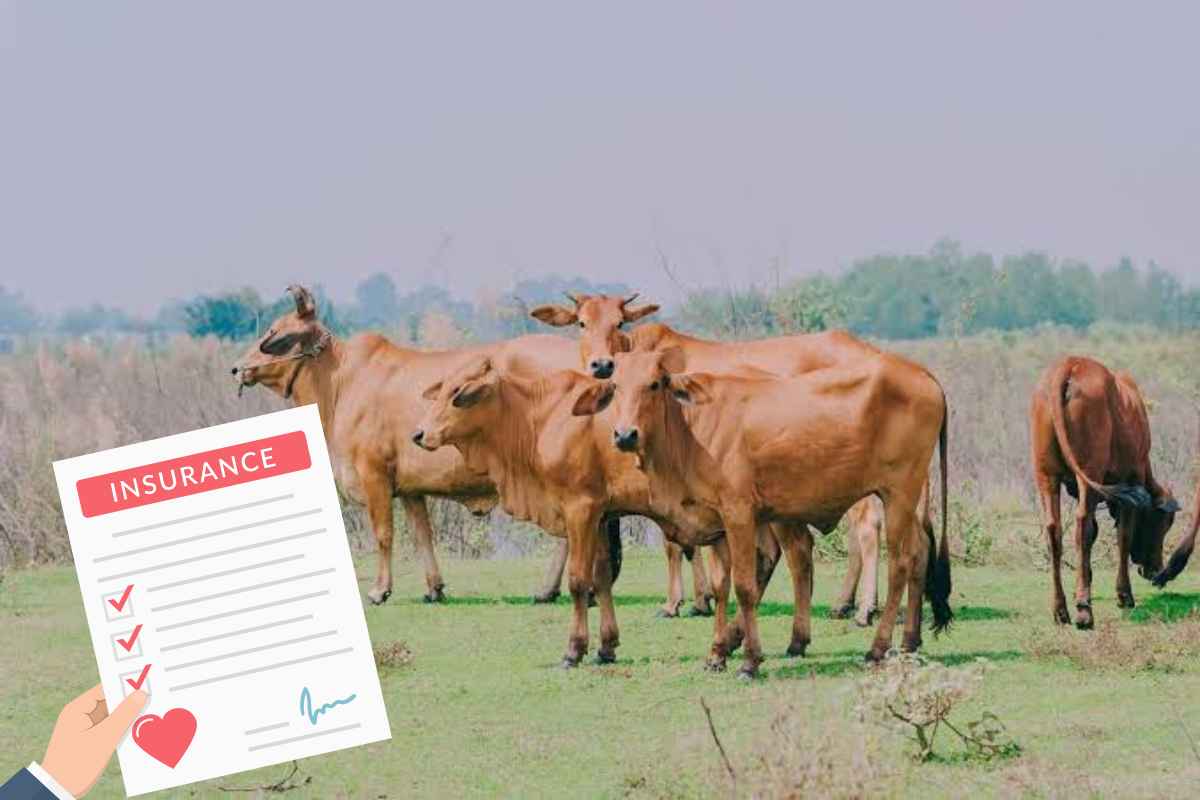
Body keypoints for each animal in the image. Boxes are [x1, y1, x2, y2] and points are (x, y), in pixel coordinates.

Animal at [231, 285, 623, 605]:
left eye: (275, 333)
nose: (237, 368)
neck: (341, 381)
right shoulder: (409, 489)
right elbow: (422, 536)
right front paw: (434, 588)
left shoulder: (373, 474)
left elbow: (384, 534)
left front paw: (379, 591)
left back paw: (555, 590)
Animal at [411, 357, 800, 670]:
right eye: (441, 388)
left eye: (457, 393)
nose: (418, 433)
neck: (539, 417)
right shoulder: (601, 514)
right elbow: (601, 577)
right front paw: (606, 646)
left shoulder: (579, 508)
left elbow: (579, 580)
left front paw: (574, 650)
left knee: (789, 558)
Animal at [579, 348, 952, 676]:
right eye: (616, 386)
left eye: (655, 384)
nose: (625, 435)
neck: (692, 430)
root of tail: (924, 374)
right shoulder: (718, 525)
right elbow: (721, 586)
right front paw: (717, 654)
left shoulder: (739, 515)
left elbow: (744, 587)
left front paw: (749, 661)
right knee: (920, 553)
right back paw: (909, 642)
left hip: (898, 494)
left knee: (901, 563)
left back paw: (877, 648)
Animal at [1029, 356, 1185, 628]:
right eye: (1164, 523)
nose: (1155, 570)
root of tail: (1069, 365)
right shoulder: (1131, 484)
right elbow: (1123, 536)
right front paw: (1124, 595)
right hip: (1088, 472)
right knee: (1082, 526)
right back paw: (1084, 611)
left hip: (1046, 476)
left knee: (1053, 529)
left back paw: (1060, 609)